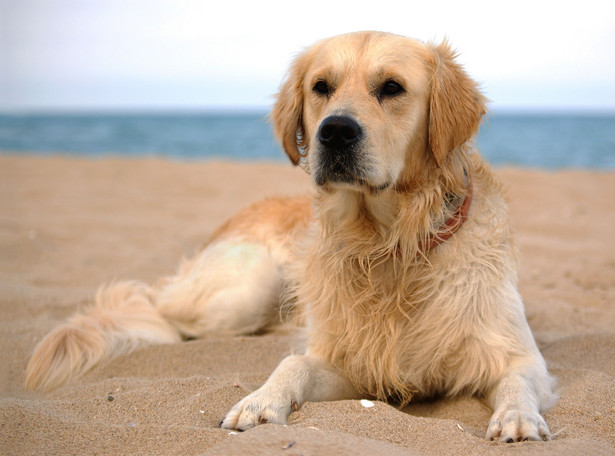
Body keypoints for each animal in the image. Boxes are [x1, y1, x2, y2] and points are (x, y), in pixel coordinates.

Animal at [26, 31, 560, 442]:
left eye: (392, 87)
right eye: (321, 87)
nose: (336, 131)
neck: (387, 244)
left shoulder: (517, 356)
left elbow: (518, 383)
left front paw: (517, 418)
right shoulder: (343, 361)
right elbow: (293, 365)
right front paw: (259, 401)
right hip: (243, 292)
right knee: (151, 307)